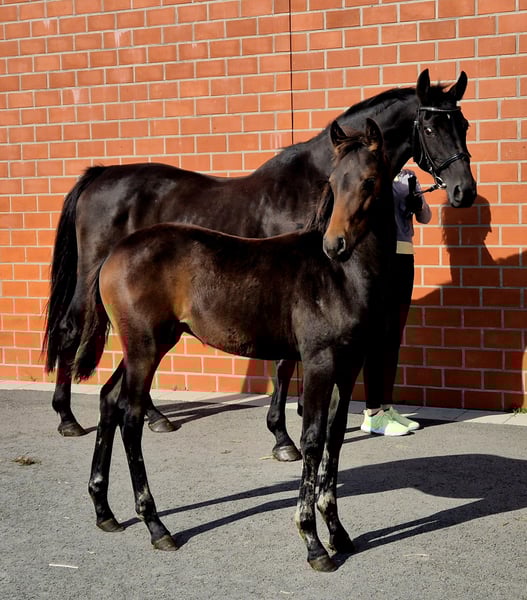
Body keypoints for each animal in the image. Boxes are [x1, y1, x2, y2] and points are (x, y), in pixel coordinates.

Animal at [44, 69, 477, 460]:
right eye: (431, 126)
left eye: (464, 124)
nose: (465, 191)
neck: (312, 183)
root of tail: (99, 176)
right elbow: (283, 366)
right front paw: (282, 438)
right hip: (89, 280)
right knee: (70, 330)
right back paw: (67, 418)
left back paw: (154, 416)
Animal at [73, 118, 393, 572]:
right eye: (333, 181)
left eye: (368, 180)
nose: (335, 245)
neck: (340, 277)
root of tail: (114, 252)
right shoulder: (318, 363)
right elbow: (313, 441)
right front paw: (314, 544)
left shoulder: (348, 368)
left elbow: (333, 442)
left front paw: (339, 535)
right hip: (145, 349)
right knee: (130, 417)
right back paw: (156, 526)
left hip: (145, 346)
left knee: (107, 400)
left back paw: (105, 511)